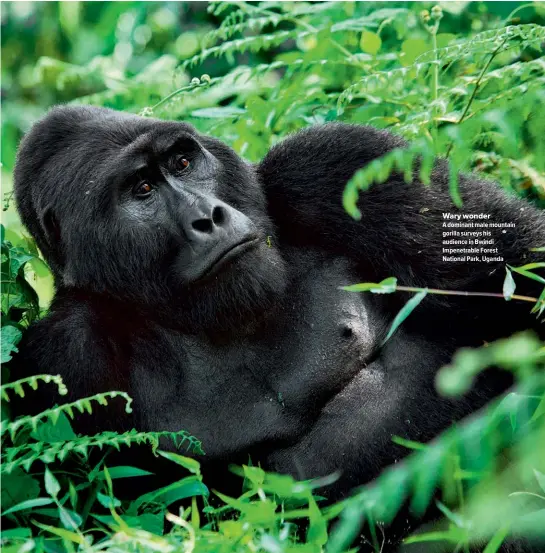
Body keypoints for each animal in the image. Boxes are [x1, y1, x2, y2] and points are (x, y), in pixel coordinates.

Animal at [12, 105, 544, 544]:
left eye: (182, 163)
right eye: (141, 190)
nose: (209, 217)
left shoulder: (334, 164)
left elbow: (523, 278)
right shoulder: (63, 356)